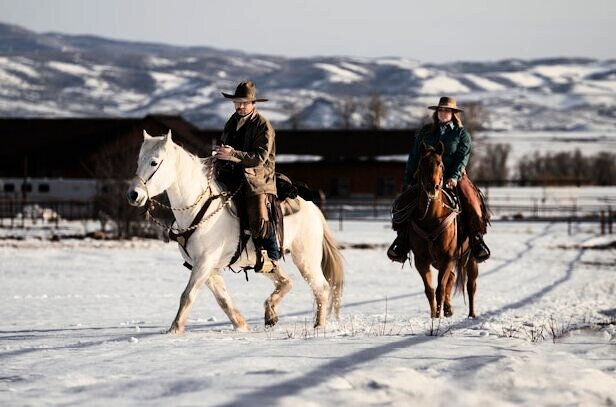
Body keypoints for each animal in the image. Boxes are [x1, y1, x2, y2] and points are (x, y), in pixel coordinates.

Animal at [127, 131, 344, 334]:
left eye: (154, 162)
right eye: (138, 161)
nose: (133, 195)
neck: (196, 209)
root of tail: (314, 209)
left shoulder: (205, 262)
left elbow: (187, 295)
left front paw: (174, 330)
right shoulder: (205, 266)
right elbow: (222, 298)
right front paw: (242, 326)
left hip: (306, 258)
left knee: (321, 288)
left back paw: (318, 326)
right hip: (265, 262)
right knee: (287, 281)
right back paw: (271, 314)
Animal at [406, 143, 478, 318]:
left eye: (441, 164)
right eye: (421, 164)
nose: (433, 187)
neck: (432, 218)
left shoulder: (447, 258)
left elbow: (440, 289)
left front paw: (437, 316)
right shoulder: (422, 261)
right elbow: (430, 289)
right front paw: (434, 314)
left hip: (470, 257)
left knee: (471, 285)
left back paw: (471, 314)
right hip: (440, 262)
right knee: (451, 278)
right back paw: (448, 308)